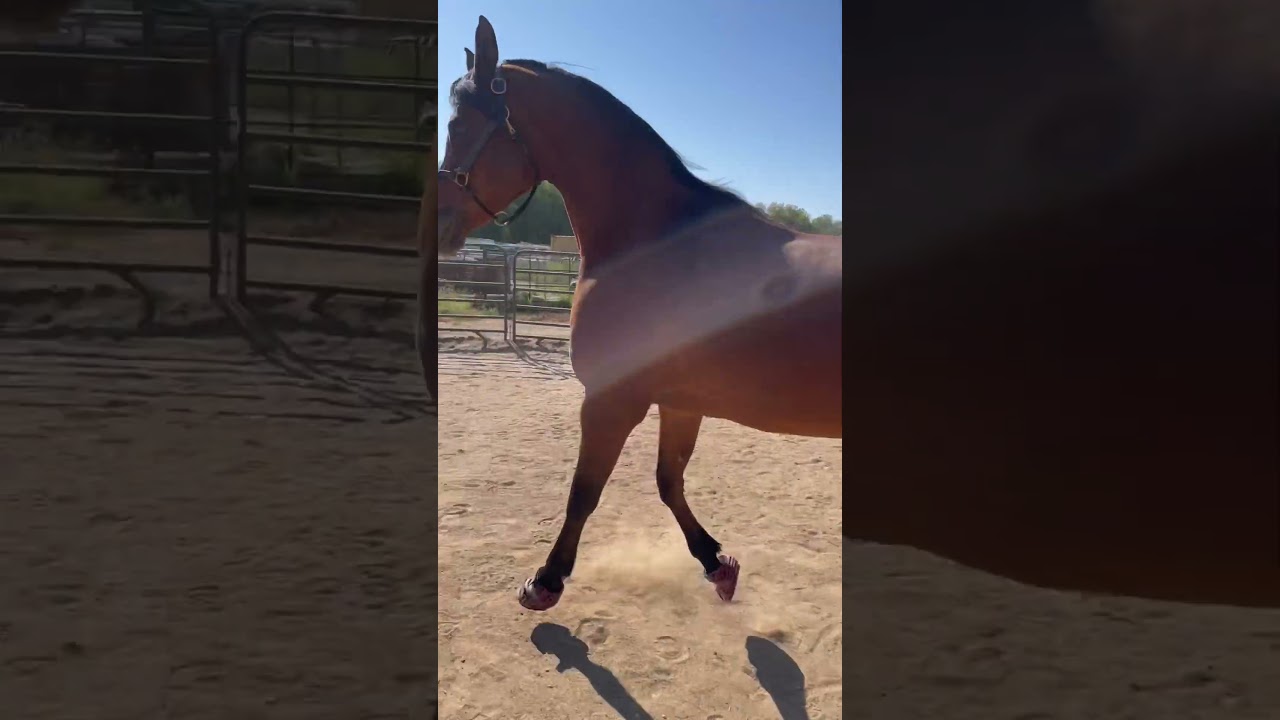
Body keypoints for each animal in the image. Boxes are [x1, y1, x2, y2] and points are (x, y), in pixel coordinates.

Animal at [437, 17, 843, 611]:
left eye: (461, 122)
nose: (438, 224)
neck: (656, 242)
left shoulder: (611, 400)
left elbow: (584, 492)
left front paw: (546, 580)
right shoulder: (679, 401)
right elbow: (668, 480)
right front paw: (716, 562)